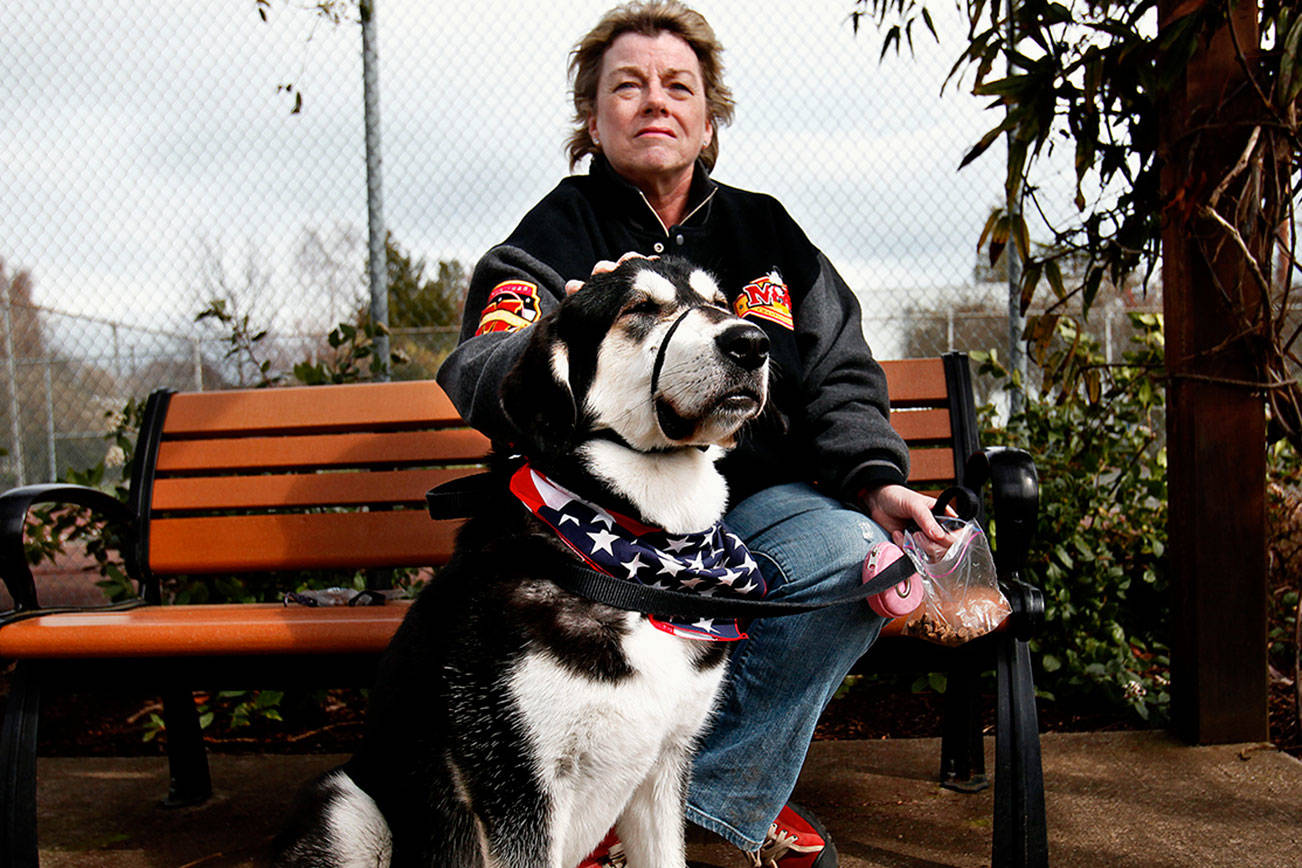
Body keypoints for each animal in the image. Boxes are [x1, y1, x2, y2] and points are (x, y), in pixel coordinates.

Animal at [272, 256, 760, 868]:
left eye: (720, 302)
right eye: (641, 309)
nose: (753, 343)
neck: (630, 556)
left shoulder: (664, 767)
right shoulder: (518, 785)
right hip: (347, 807)